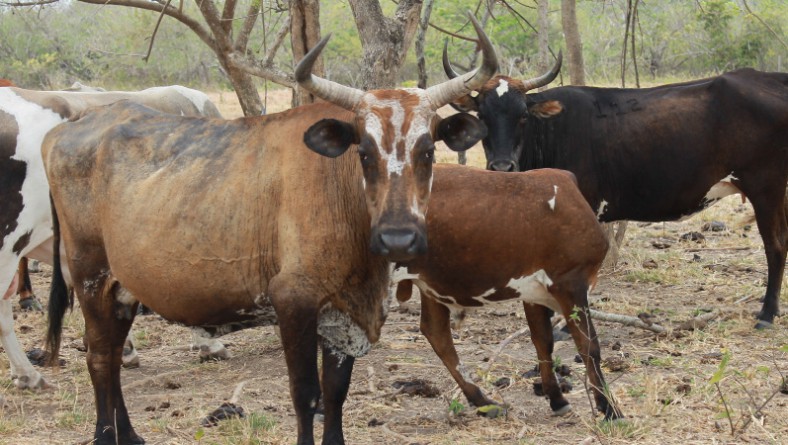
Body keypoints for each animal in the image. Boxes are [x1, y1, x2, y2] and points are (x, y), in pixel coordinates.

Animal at [41, 13, 492, 444]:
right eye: (363, 152)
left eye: (428, 150)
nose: (398, 238)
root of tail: (66, 129)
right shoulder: (293, 300)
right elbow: (306, 394)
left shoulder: (343, 312)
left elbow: (336, 393)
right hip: (90, 276)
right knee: (99, 357)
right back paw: (105, 435)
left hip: (123, 289)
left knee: (114, 356)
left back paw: (130, 434)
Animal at [394, 164, 620, 420]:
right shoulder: (571, 281)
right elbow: (589, 346)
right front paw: (609, 408)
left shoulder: (533, 291)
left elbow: (543, 341)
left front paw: (556, 398)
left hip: (431, 283)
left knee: (436, 333)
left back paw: (483, 401)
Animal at [446, 53, 784, 330]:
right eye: (483, 116)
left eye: (523, 116)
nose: (502, 166)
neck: (552, 131)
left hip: (766, 187)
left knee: (776, 246)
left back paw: (767, 314)